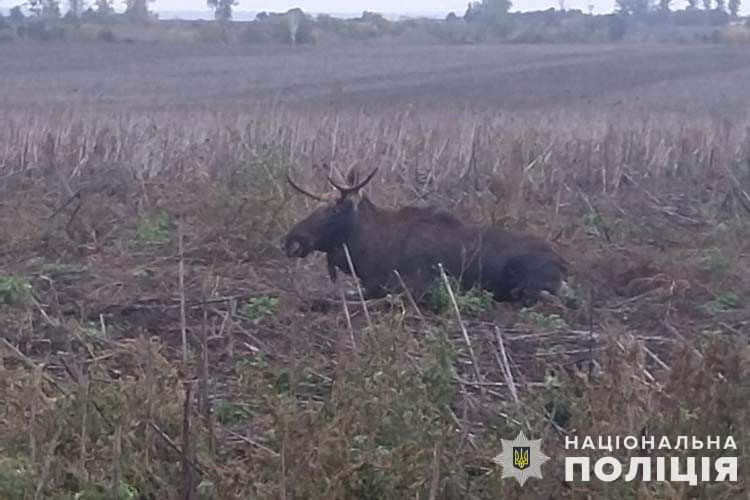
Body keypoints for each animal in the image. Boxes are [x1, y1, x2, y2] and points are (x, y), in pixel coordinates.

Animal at [284, 167, 568, 304]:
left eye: (334, 211)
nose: (291, 240)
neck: (368, 253)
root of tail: (563, 264)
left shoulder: (418, 286)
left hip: (529, 283)